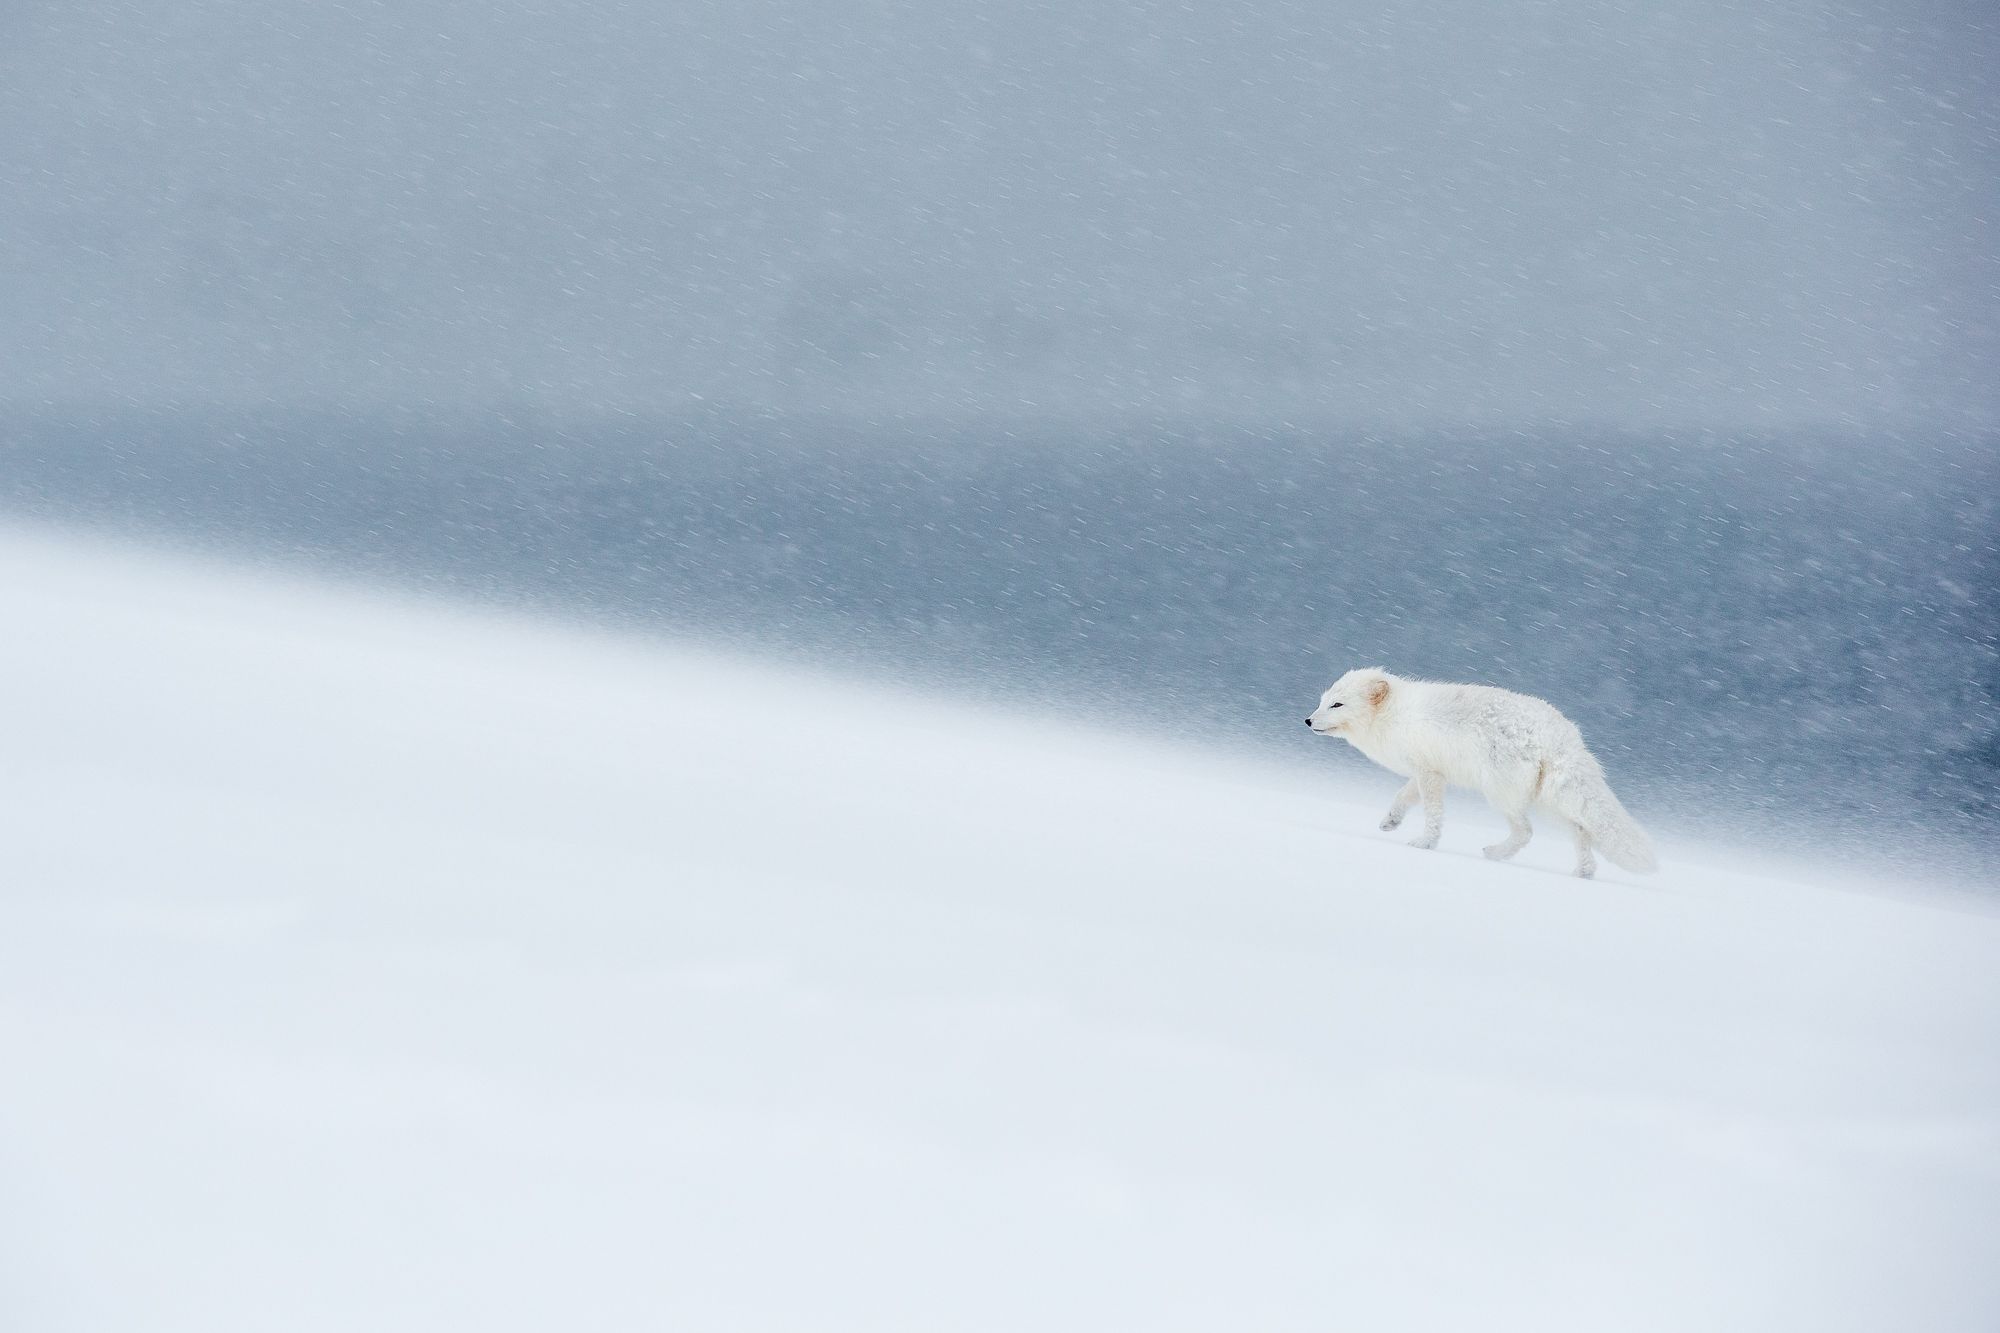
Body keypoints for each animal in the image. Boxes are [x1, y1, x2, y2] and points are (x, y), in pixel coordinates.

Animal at [1305, 668, 1657, 878]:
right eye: (1322, 701)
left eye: (1337, 705)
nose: (1307, 720)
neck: (1397, 716)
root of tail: (1561, 736)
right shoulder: (1430, 771)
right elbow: (1403, 795)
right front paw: (1391, 821)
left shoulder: (1429, 772)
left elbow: (1433, 814)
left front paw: (1425, 843)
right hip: (1549, 801)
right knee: (1581, 831)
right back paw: (1583, 872)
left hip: (1502, 793)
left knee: (1526, 831)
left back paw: (1495, 853)